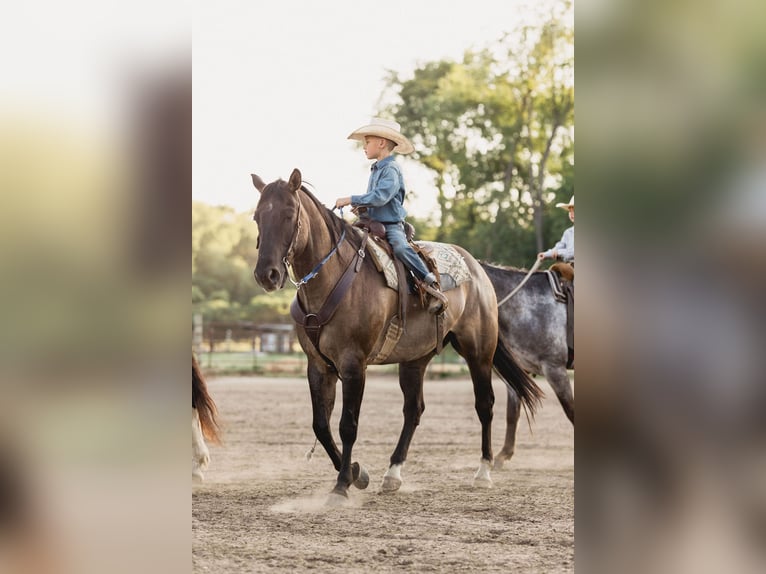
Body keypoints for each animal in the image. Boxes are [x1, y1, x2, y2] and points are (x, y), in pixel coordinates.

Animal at [249, 170, 544, 504]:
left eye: (289, 213)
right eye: (257, 216)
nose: (267, 275)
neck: (332, 279)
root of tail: (476, 268)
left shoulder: (353, 365)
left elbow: (348, 425)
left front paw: (342, 485)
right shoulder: (319, 366)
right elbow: (321, 425)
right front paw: (357, 473)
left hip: (478, 351)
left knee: (485, 404)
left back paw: (483, 471)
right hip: (415, 359)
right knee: (413, 410)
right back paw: (393, 474)